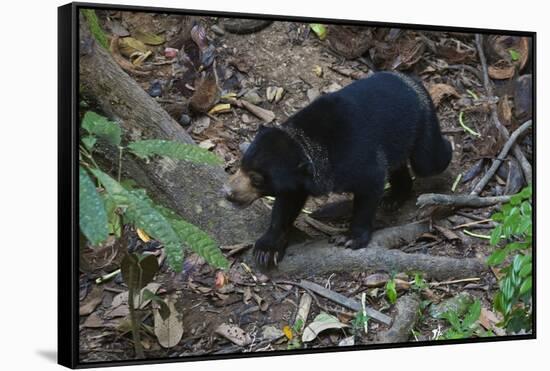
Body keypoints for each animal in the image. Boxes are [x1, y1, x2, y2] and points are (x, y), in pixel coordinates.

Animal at [223, 72, 452, 270]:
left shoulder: (357, 160)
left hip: (422, 122)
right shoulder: (297, 180)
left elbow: (370, 186)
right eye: (241, 165)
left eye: (257, 179)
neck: (306, 146)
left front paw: (350, 238)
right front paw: (266, 250)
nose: (227, 193)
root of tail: (411, 80)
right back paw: (394, 198)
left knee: (429, 161)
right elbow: (286, 205)